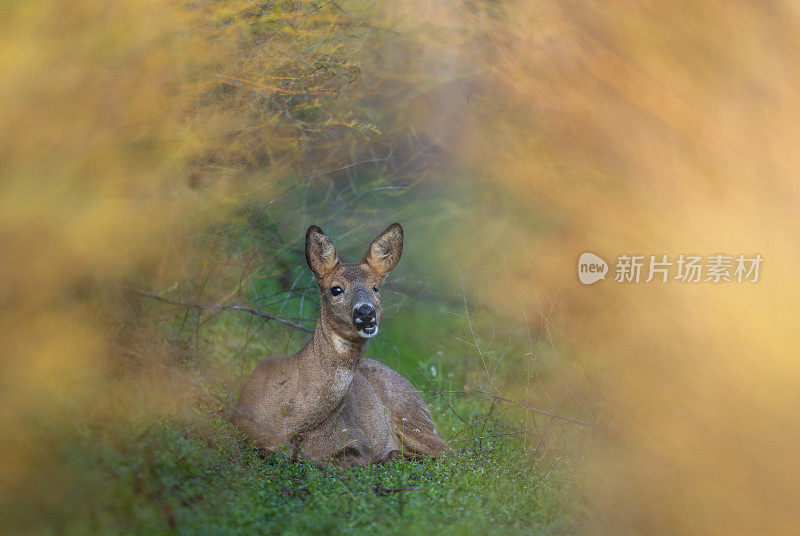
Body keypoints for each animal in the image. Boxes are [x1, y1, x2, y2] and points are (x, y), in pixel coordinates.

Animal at [234, 222, 454, 464]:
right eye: (336, 289)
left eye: (375, 288)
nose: (366, 313)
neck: (291, 423)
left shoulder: (356, 440)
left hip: (412, 414)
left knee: (452, 453)